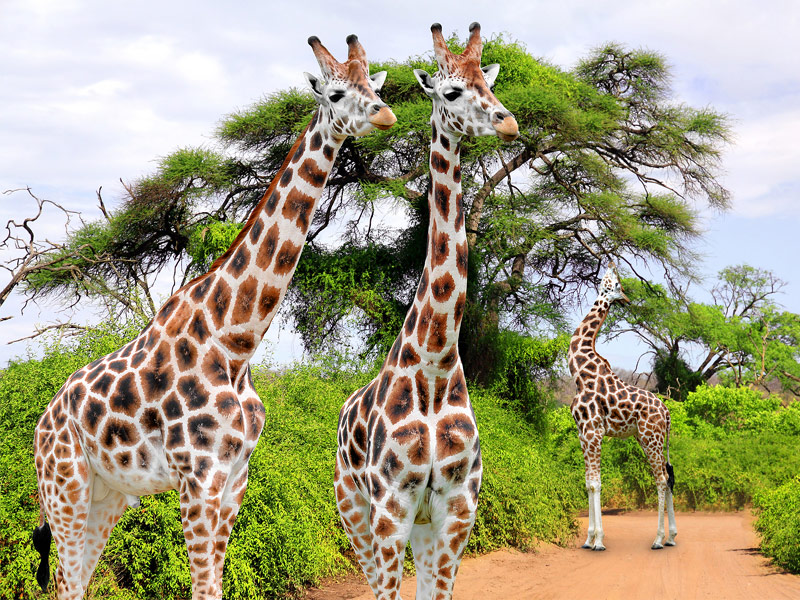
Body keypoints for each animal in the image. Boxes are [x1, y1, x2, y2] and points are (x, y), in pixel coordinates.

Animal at [32, 35, 396, 596]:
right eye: (336, 93)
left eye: (373, 88)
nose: (387, 116)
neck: (236, 342)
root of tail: (40, 424)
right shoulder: (197, 477)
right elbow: (204, 586)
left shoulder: (234, 479)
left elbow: (216, 584)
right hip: (64, 484)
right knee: (66, 580)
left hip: (106, 494)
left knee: (75, 579)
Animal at [332, 23, 516, 600]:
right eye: (452, 91)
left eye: (490, 84)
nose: (510, 122)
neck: (435, 361)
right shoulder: (391, 507)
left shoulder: (456, 509)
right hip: (353, 508)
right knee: (372, 581)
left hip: (416, 525)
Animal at [568, 264, 676, 552]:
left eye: (616, 284)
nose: (626, 299)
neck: (579, 371)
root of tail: (666, 413)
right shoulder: (582, 433)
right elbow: (588, 483)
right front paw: (588, 539)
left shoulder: (593, 432)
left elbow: (596, 483)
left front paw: (599, 541)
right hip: (649, 439)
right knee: (669, 475)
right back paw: (672, 536)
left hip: (651, 438)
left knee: (661, 479)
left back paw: (658, 539)